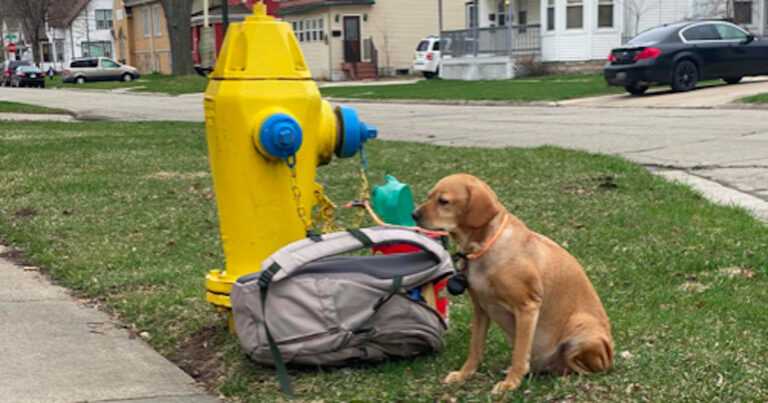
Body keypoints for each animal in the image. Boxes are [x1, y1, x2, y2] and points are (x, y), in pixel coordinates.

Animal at [414, 174, 612, 394]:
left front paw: (511, 383)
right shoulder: (480, 309)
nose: (414, 215)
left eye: (444, 201)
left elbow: (519, 353)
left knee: (586, 367)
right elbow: (475, 348)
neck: (483, 247)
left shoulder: (527, 307)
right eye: (429, 196)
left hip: (581, 327)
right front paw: (464, 374)